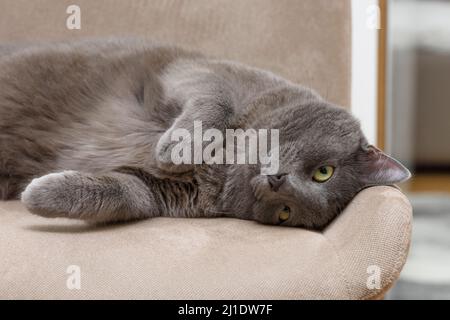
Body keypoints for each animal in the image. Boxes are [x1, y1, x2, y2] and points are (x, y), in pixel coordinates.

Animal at [0, 38, 410, 229]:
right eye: (325, 171)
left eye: (286, 213)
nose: (277, 182)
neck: (224, 166)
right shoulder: (198, 69)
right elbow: (218, 97)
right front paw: (179, 147)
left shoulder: (162, 193)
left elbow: (125, 193)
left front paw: (38, 195)